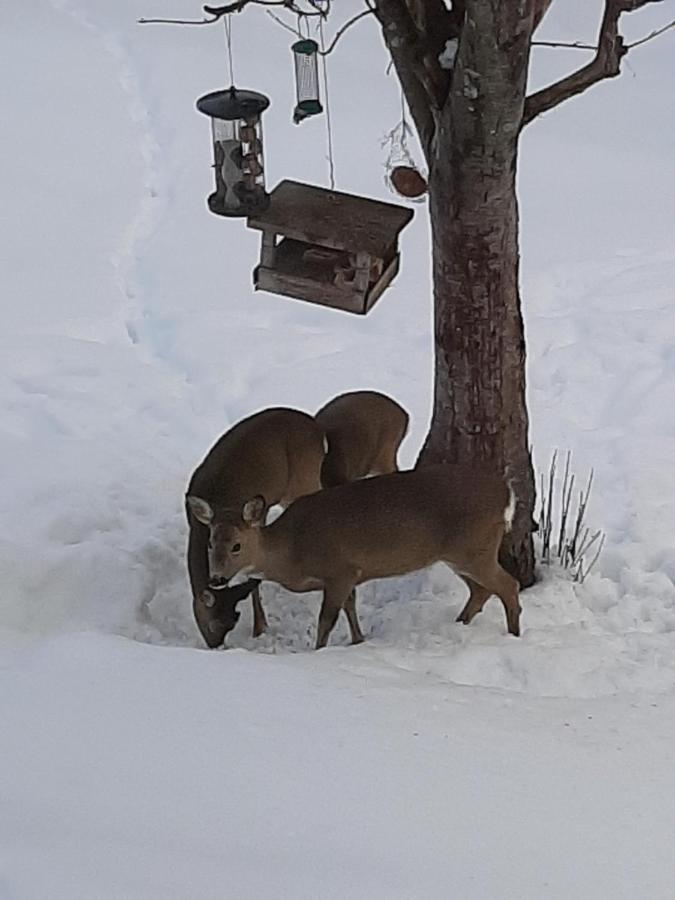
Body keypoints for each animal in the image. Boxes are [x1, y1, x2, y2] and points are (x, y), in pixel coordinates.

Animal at [182, 390, 410, 644]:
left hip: (303, 479)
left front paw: (260, 627)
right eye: (211, 624)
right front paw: (260, 626)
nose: (215, 646)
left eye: (226, 624)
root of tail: (317, 427)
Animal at [193, 464, 524, 648]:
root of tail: (505, 491)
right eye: (210, 542)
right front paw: (358, 640)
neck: (292, 550)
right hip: (461, 553)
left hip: (474, 548)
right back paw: (460, 624)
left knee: (509, 585)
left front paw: (318, 650)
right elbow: (350, 607)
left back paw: (514, 635)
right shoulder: (351, 573)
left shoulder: (339, 569)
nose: (217, 579)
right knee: (481, 590)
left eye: (236, 545)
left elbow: (327, 619)